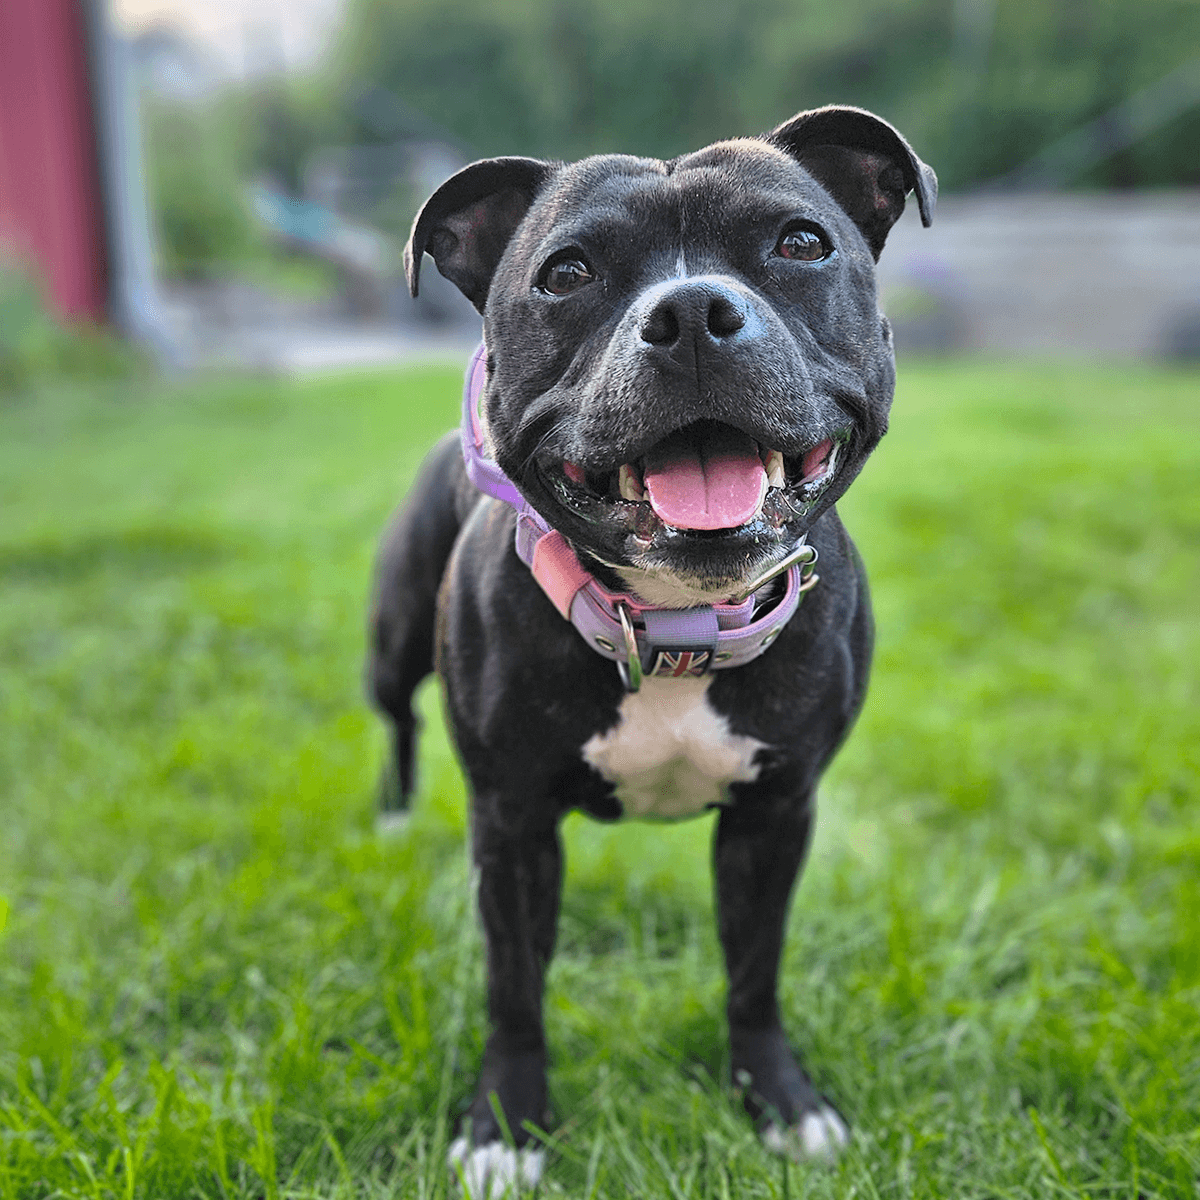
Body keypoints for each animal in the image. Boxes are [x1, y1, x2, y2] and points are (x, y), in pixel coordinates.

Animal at [369, 105, 931, 1190]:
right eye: (567, 272)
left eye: (802, 243)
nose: (695, 312)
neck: (676, 621)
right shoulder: (510, 826)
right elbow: (514, 988)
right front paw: (505, 1126)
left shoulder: (775, 816)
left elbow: (754, 975)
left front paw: (780, 1103)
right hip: (392, 643)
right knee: (397, 719)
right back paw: (390, 813)